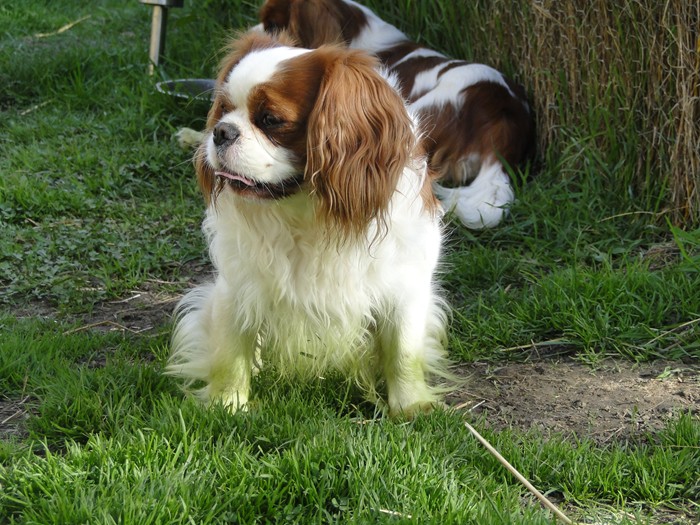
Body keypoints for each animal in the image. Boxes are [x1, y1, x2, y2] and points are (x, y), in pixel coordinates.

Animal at [167, 32, 452, 418]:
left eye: (270, 119)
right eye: (222, 110)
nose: (221, 132)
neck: (305, 211)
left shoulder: (405, 287)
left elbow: (404, 352)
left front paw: (411, 406)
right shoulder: (237, 286)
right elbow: (232, 351)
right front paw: (228, 405)